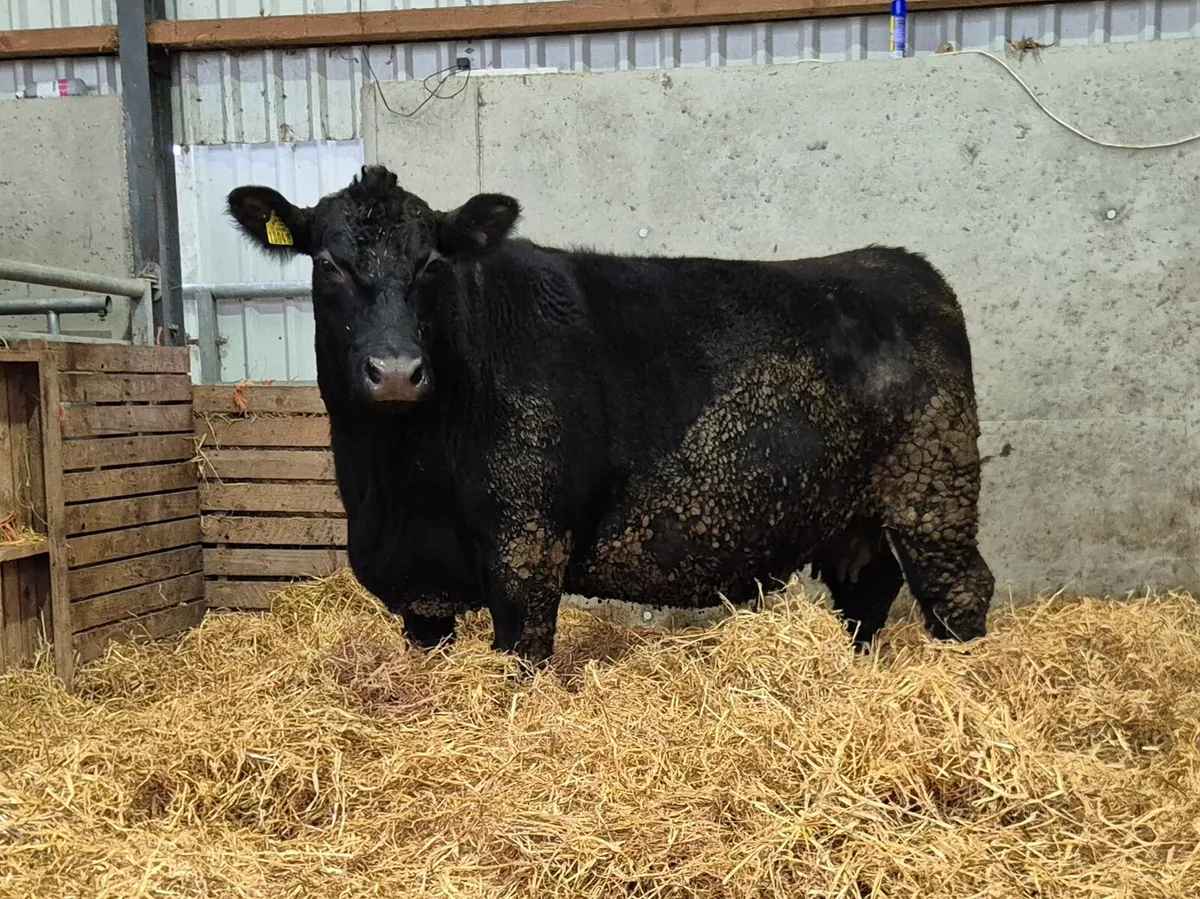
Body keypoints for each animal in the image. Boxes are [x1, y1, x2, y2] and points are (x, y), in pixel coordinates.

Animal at [227, 165, 995, 666]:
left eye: (432, 264)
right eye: (328, 263)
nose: (395, 371)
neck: (395, 485)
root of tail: (903, 266)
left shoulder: (528, 552)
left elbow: (523, 659)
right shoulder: (421, 590)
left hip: (935, 495)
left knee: (960, 590)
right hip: (855, 521)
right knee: (869, 595)